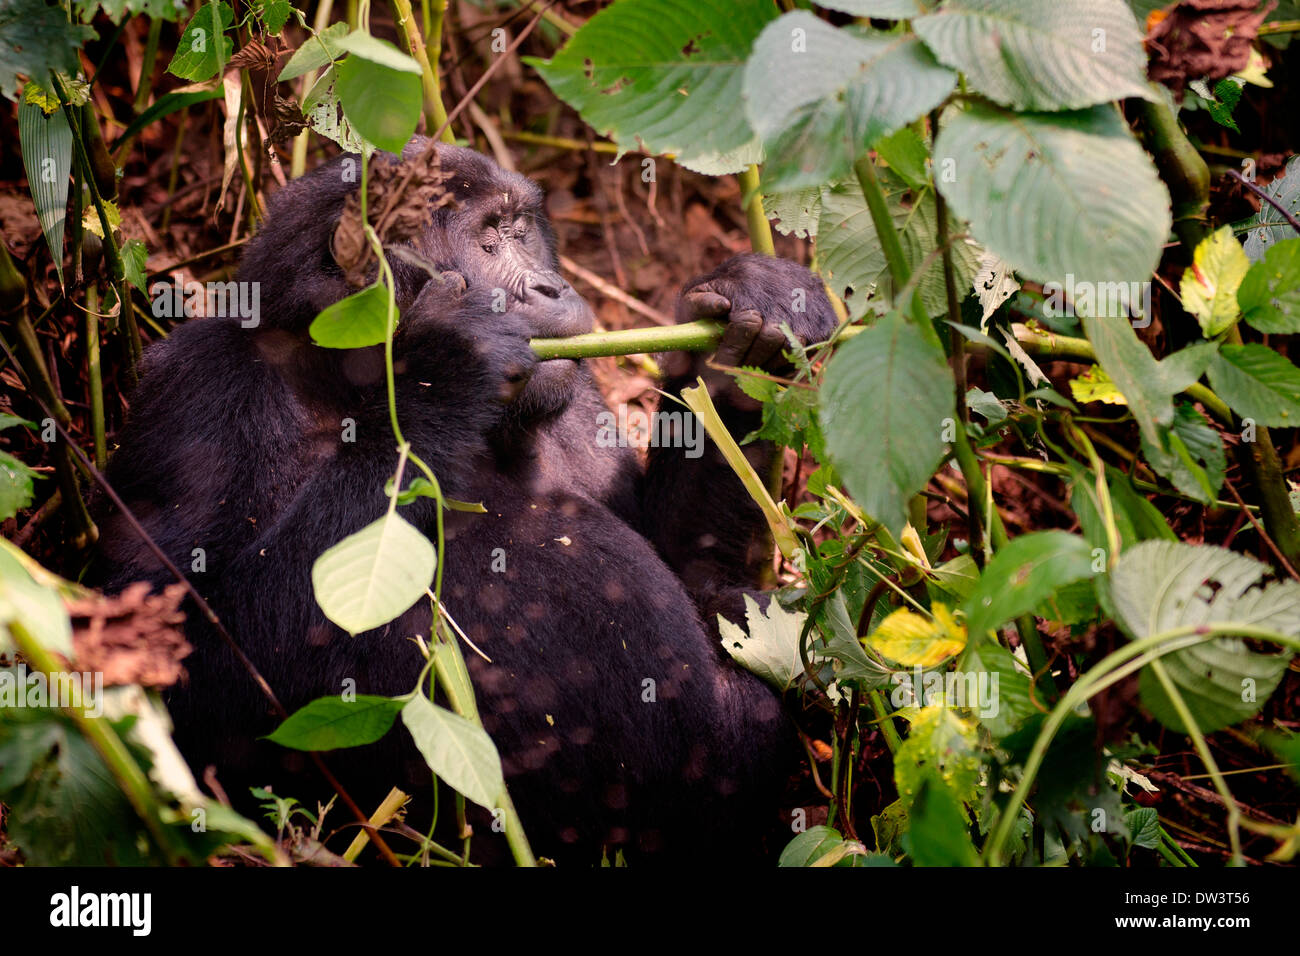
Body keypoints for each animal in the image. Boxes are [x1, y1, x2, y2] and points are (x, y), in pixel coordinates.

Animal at [96, 138, 837, 863]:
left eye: (520, 232)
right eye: (487, 239)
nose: (554, 286)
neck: (339, 375)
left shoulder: (574, 398)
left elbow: (698, 573)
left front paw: (743, 331)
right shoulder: (199, 391)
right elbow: (186, 674)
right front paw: (448, 364)